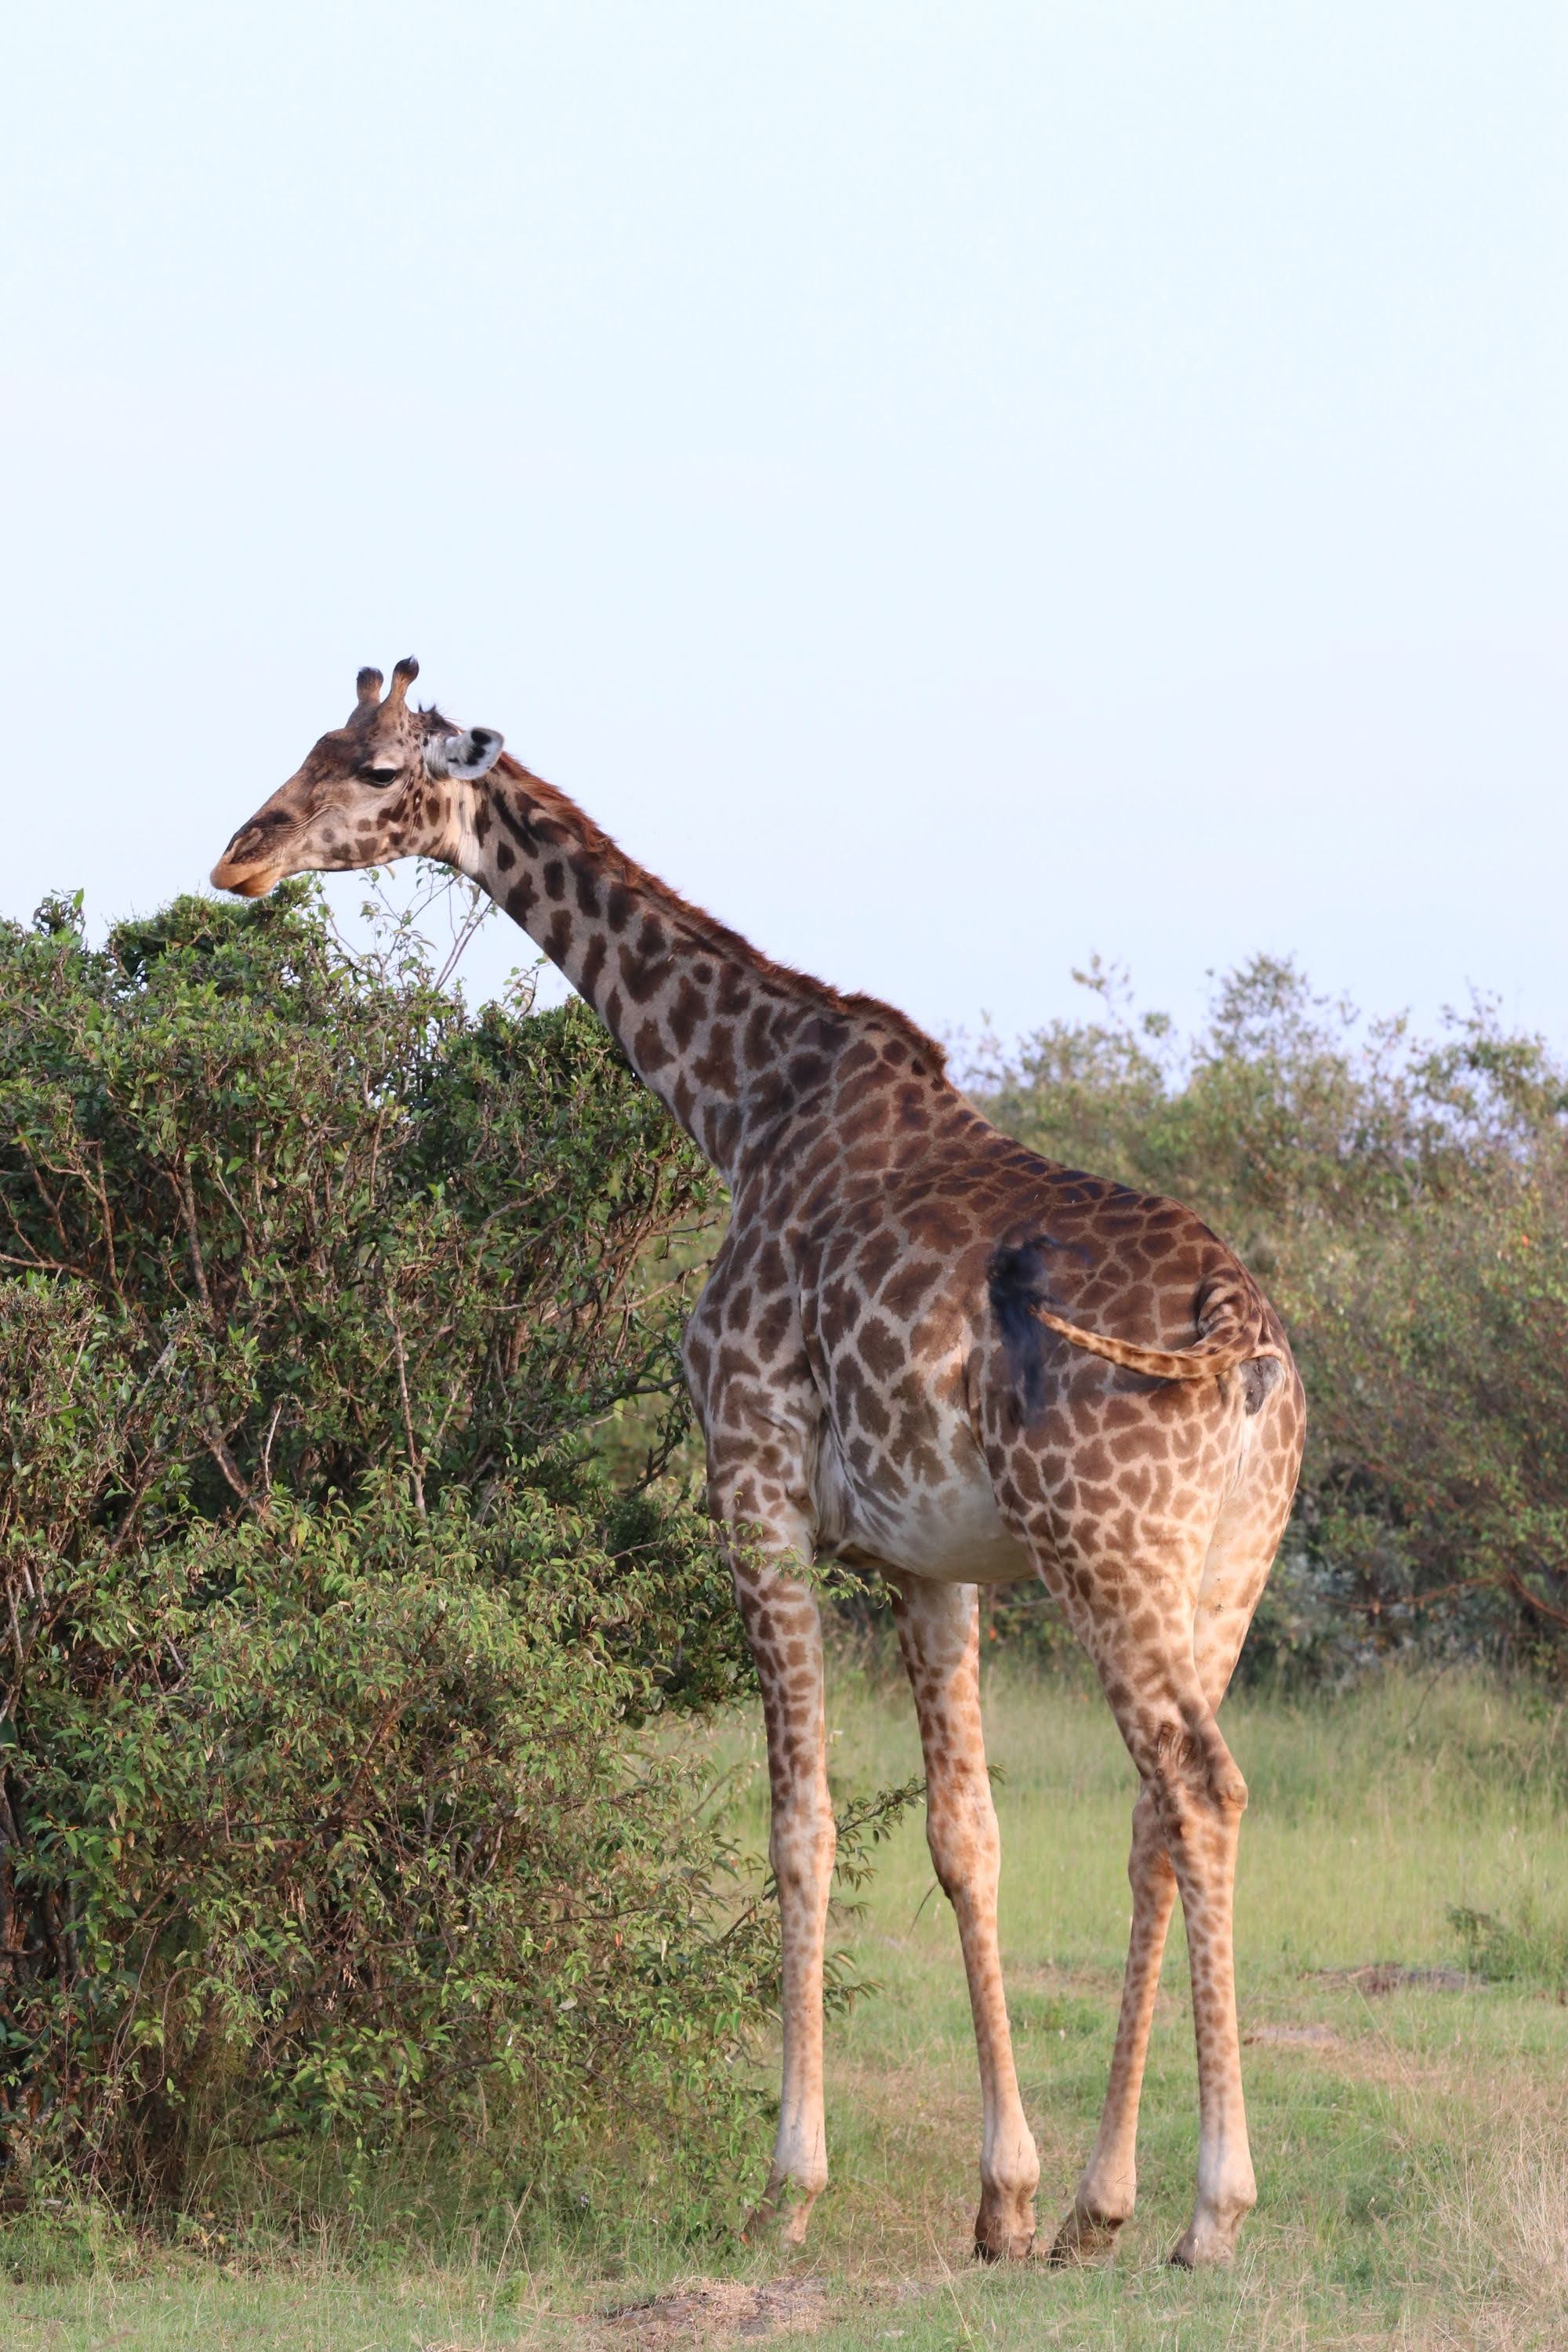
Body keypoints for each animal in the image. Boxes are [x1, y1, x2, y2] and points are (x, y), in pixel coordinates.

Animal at [211, 659, 1305, 2268]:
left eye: (371, 768)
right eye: (315, 745)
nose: (241, 855)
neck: (737, 1105)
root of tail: (1239, 1329)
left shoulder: (753, 1491)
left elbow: (802, 1828)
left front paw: (788, 2183)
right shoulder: (930, 1564)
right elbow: (967, 1839)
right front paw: (1004, 2195)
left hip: (1108, 1549)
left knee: (1204, 1792)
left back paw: (1213, 2210)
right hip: (1226, 1564)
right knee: (1158, 1820)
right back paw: (1100, 2208)